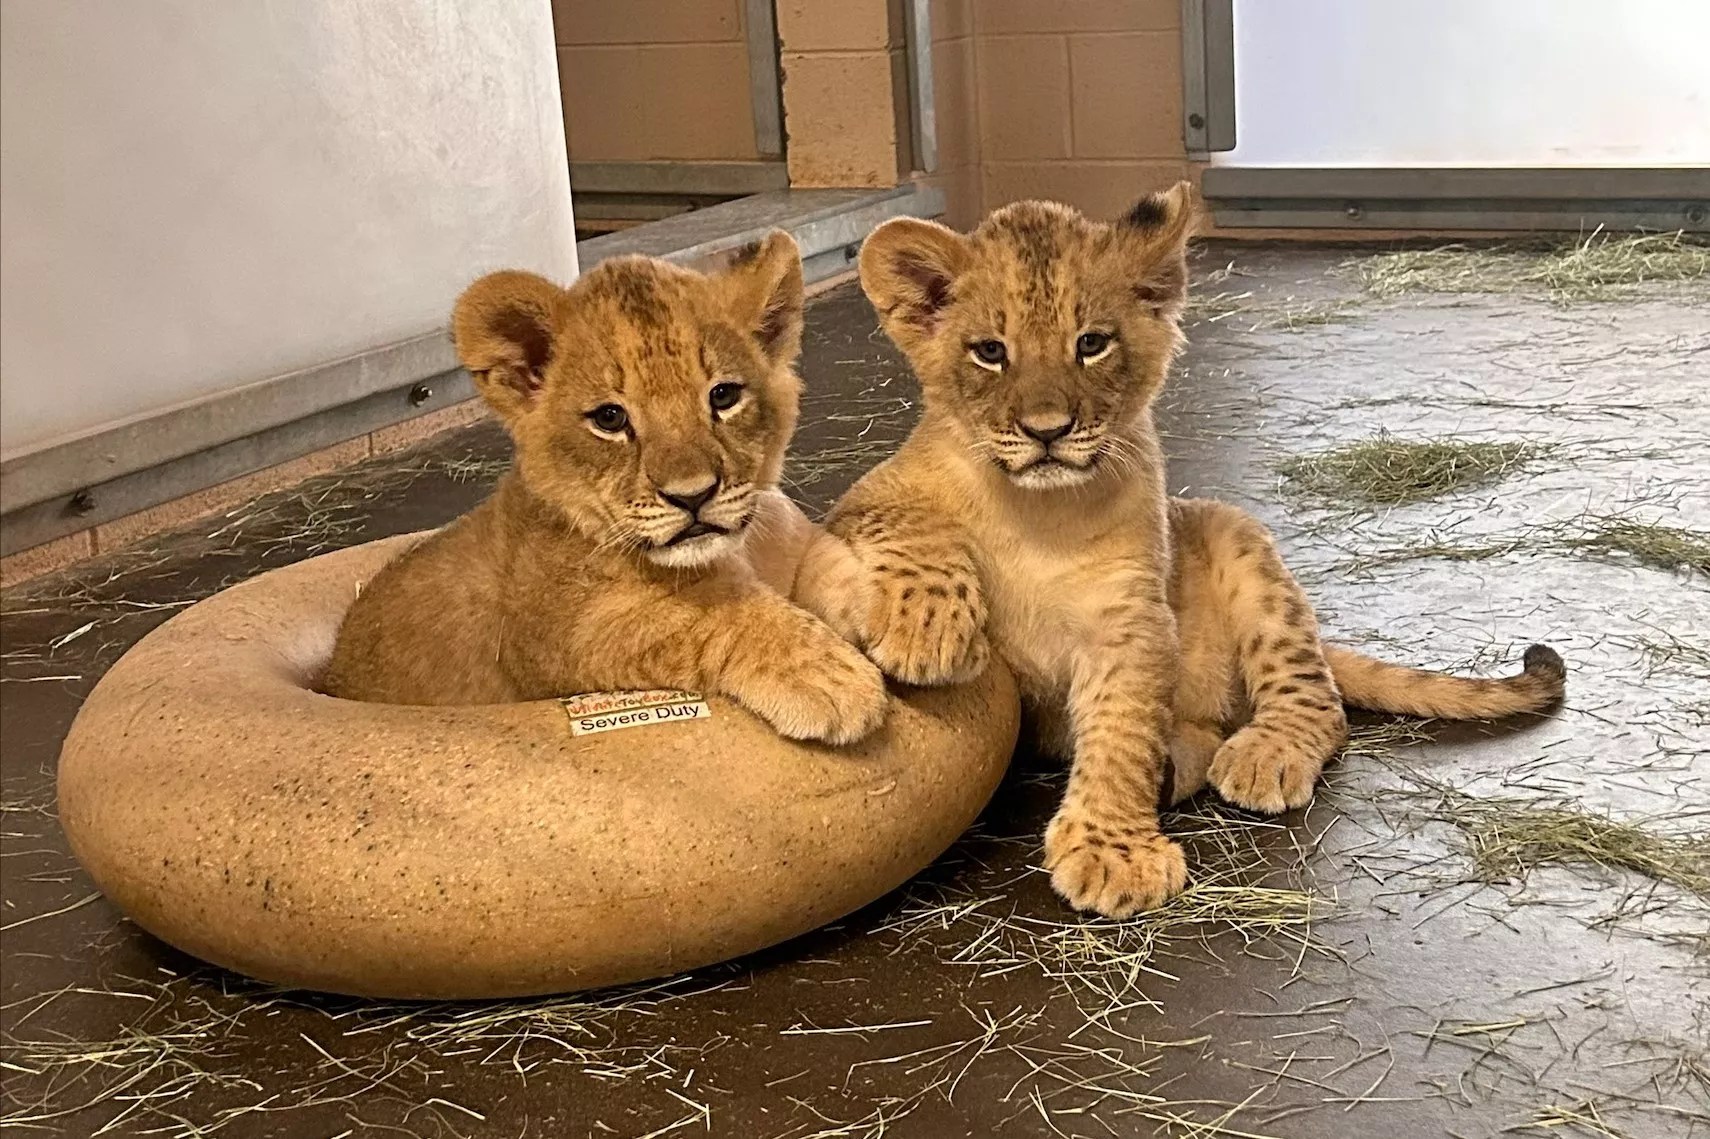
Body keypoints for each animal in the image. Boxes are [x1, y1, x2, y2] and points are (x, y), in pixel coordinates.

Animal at [322, 234, 889, 747]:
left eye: (724, 396)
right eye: (610, 419)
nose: (692, 496)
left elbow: (830, 559)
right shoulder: (561, 639)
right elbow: (706, 612)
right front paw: (829, 675)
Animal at [792, 183, 1565, 917]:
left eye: (1091, 343)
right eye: (990, 351)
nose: (1048, 431)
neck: (1036, 510)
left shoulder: (1133, 617)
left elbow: (1123, 731)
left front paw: (1114, 852)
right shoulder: (862, 499)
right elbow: (914, 523)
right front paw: (928, 631)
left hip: (1237, 538)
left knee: (1317, 702)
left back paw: (1260, 753)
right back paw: (1180, 763)